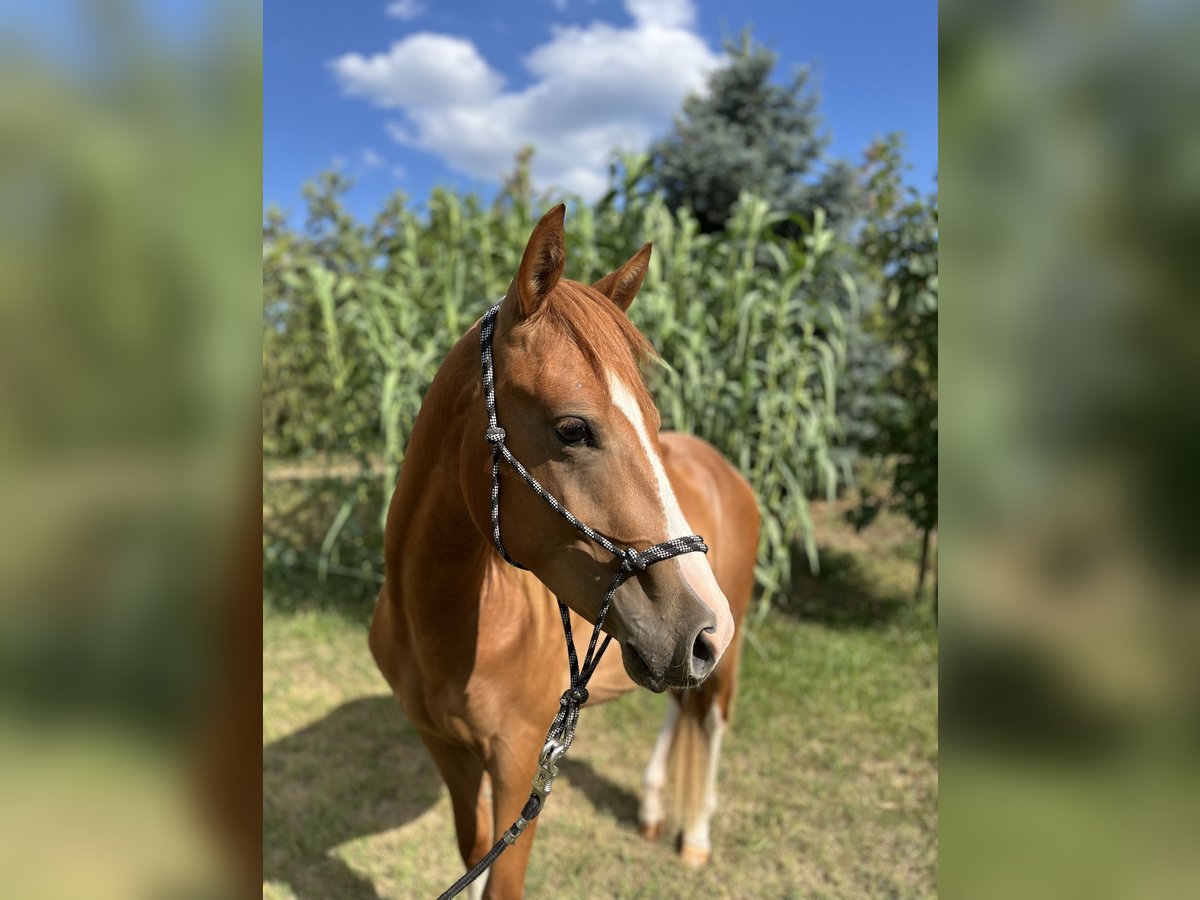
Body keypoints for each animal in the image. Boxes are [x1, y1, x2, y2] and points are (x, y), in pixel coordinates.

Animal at [369, 204, 759, 898]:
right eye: (572, 429)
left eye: (654, 423)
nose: (704, 626)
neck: (442, 624)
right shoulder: (447, 751)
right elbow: (473, 853)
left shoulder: (520, 761)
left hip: (721, 663)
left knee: (710, 722)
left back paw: (695, 837)